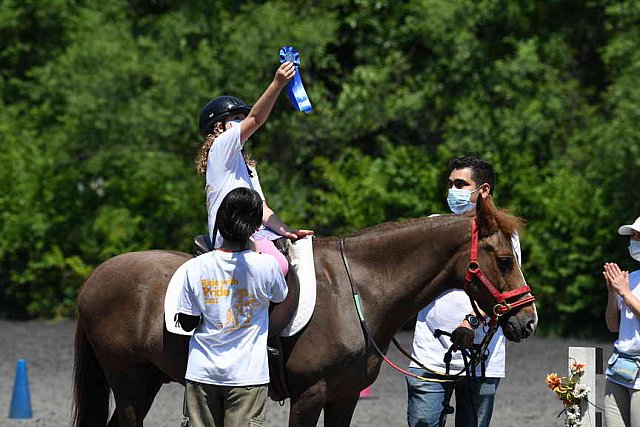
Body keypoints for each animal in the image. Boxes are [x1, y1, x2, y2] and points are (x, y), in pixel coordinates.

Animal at [72, 196, 536, 426]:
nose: (527, 320)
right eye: (504, 259)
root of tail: (97, 276)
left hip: (144, 382)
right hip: (130, 384)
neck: (359, 291)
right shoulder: (310, 395)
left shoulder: (344, 397)